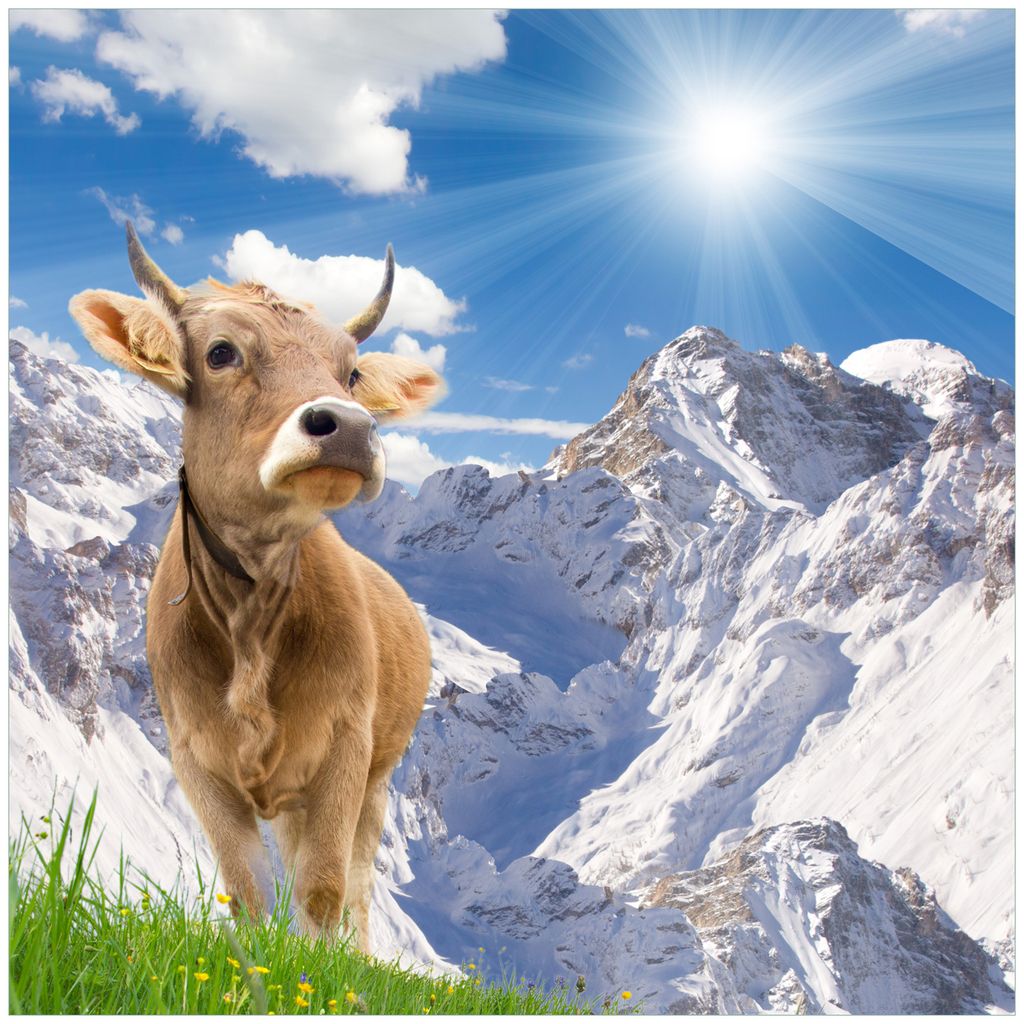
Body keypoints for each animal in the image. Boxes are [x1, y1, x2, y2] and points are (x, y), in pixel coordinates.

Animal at [69, 223, 445, 949]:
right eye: (221, 352)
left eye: (351, 371)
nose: (349, 426)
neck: (250, 618)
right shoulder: (196, 761)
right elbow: (246, 893)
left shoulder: (345, 750)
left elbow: (324, 892)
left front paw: (324, 970)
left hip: (377, 777)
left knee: (357, 885)